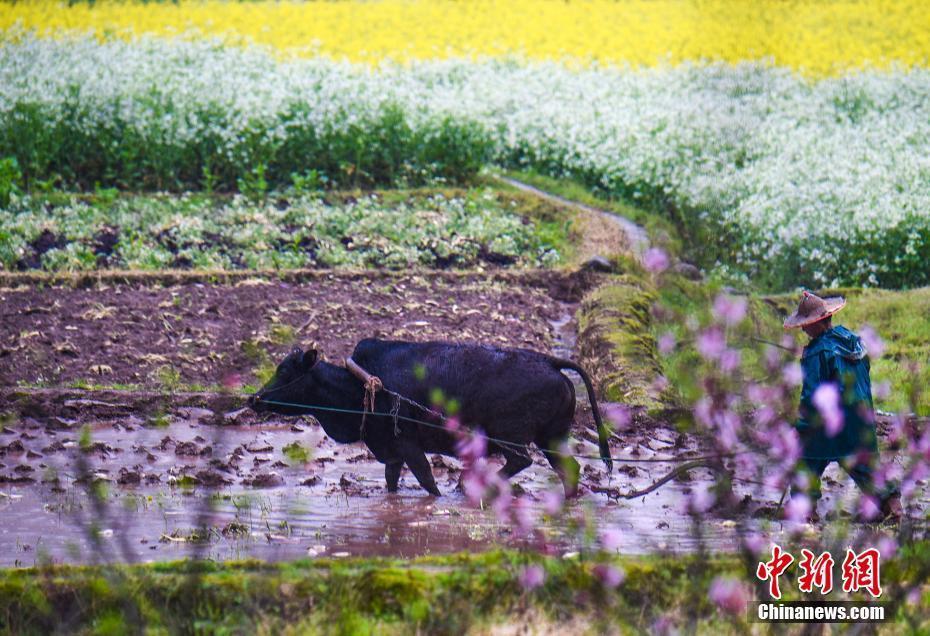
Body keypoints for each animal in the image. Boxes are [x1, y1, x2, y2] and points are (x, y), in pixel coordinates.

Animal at [246, 338, 608, 496]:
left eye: (285, 371)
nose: (254, 399)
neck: (360, 386)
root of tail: (550, 361)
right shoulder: (390, 450)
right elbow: (392, 481)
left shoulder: (408, 443)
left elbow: (427, 480)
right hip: (552, 437)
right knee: (569, 469)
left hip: (513, 437)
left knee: (521, 461)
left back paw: (469, 487)